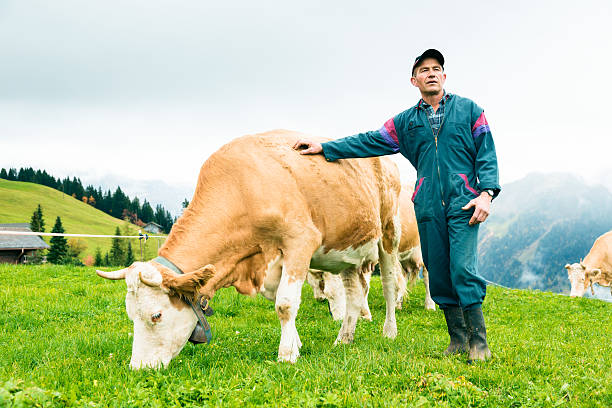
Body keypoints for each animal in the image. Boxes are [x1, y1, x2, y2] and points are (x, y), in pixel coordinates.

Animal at [95, 131, 404, 370]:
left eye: (156, 315)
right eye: (131, 315)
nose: (138, 368)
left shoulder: (300, 240)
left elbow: (285, 304)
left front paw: (286, 354)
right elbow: (283, 302)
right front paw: (296, 343)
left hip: (389, 233)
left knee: (389, 285)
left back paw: (389, 331)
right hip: (347, 252)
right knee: (354, 294)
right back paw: (344, 338)